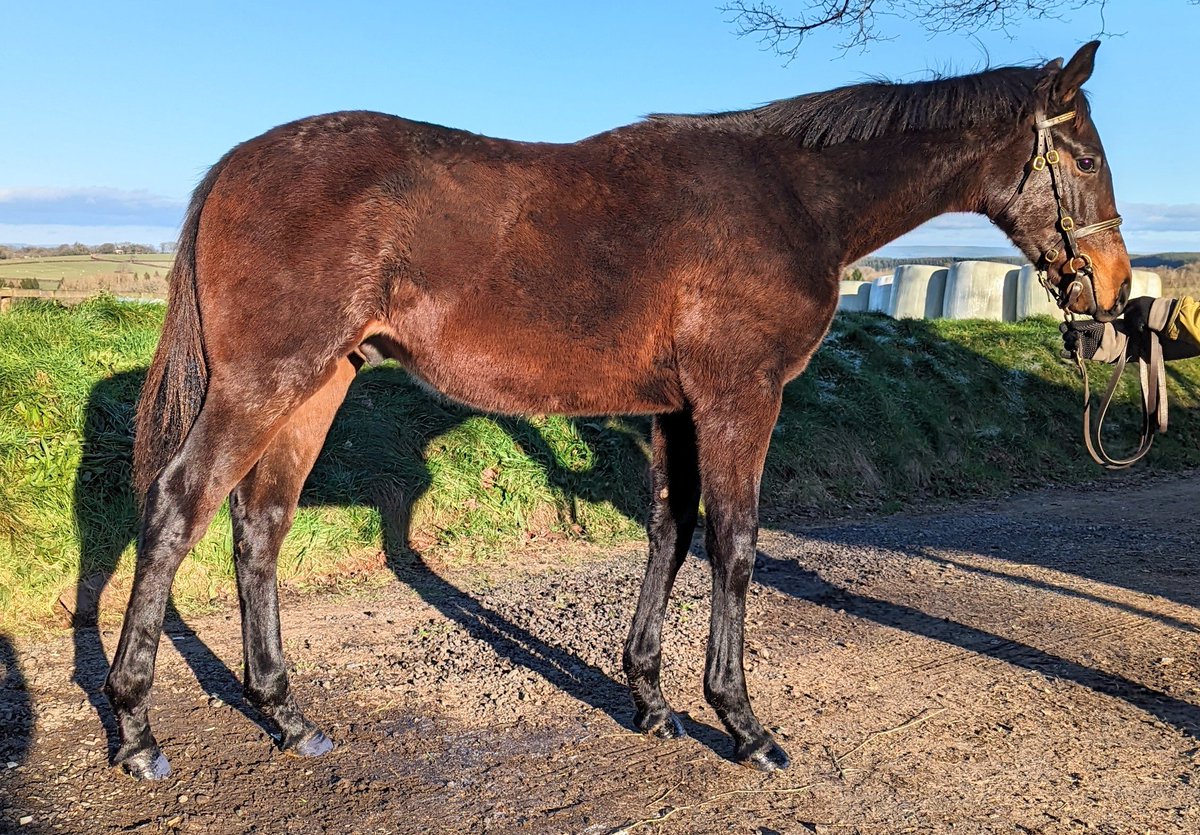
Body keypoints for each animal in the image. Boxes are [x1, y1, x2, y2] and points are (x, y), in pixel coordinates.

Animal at [103, 40, 1130, 779]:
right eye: (1082, 154)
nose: (1114, 288)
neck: (793, 196)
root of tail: (236, 165)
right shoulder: (738, 400)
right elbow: (735, 546)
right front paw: (744, 724)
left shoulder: (675, 409)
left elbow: (670, 533)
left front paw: (651, 700)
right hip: (264, 382)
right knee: (178, 508)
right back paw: (138, 728)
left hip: (318, 385)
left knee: (258, 526)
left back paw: (286, 714)